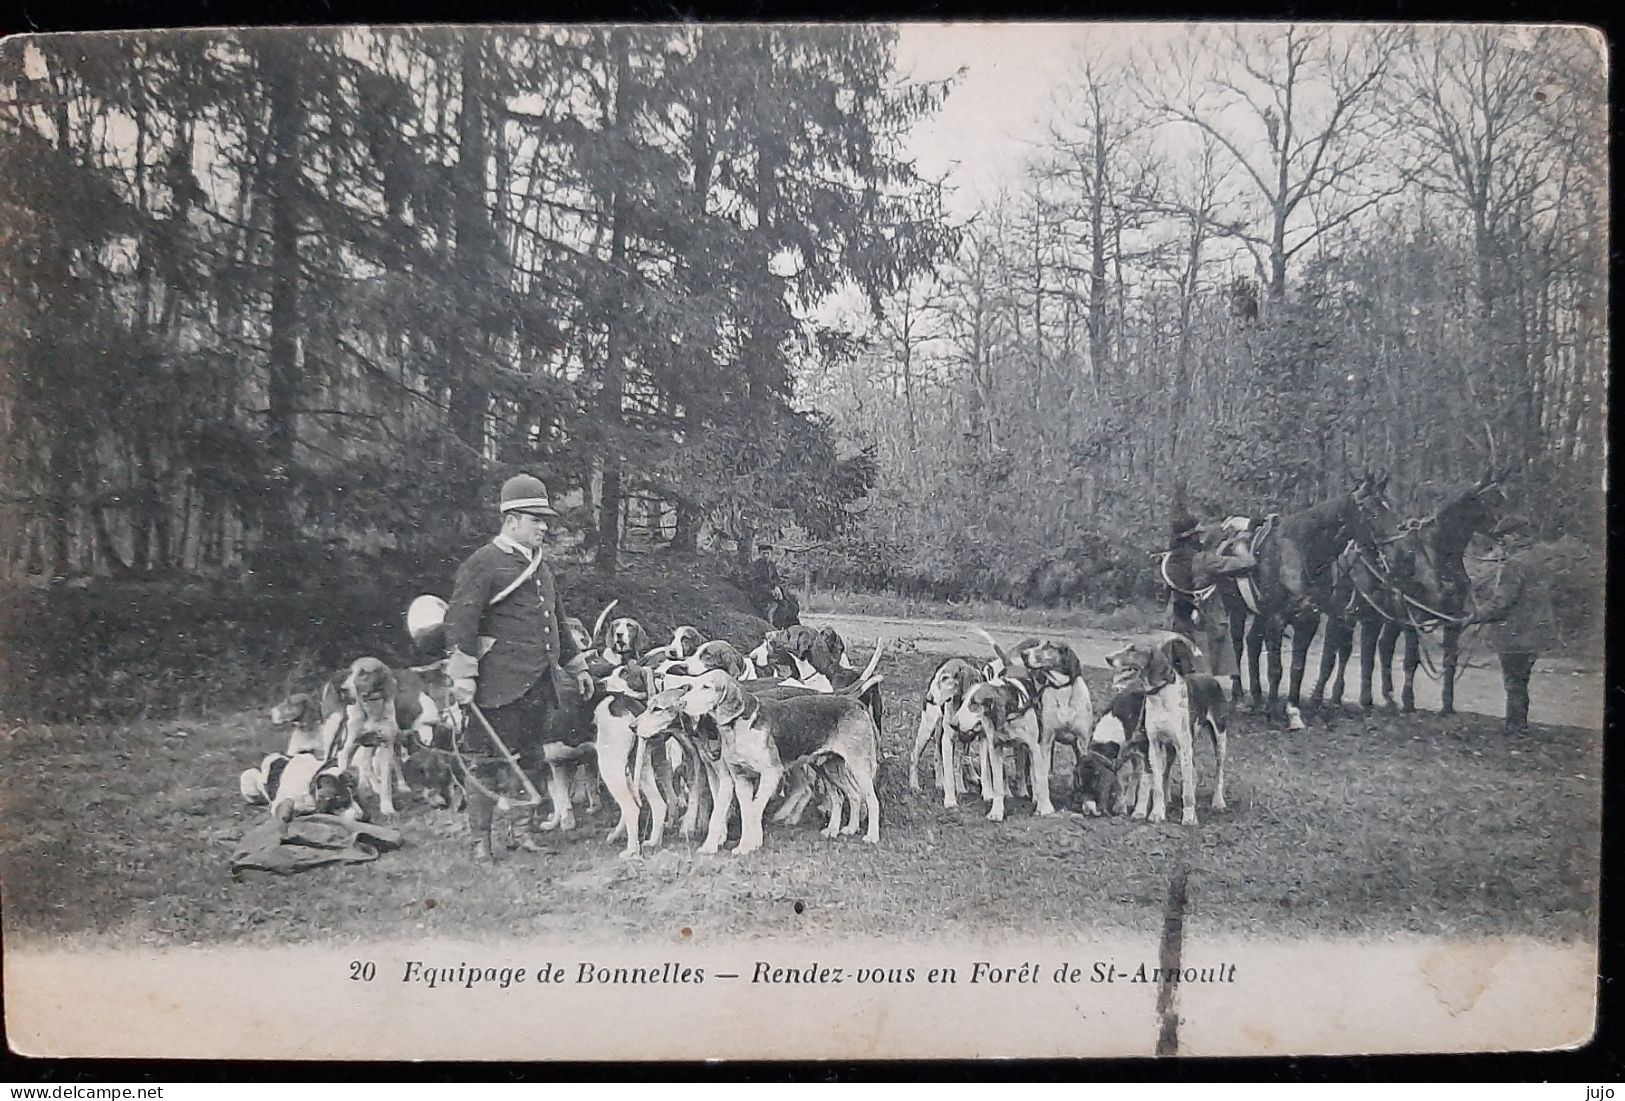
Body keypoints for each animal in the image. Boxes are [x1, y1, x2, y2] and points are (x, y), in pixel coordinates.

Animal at [1235, 474, 1391, 724]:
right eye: (1372, 512)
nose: (1402, 551)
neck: (1298, 554)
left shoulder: (1311, 619)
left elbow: (1298, 667)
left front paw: (1293, 709)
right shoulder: (1279, 619)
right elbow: (1277, 667)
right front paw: (1274, 710)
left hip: (1260, 614)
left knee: (1251, 643)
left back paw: (1257, 697)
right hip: (1236, 610)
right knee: (1236, 645)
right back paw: (1239, 696)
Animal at [1306, 470, 1508, 714]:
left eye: (1502, 498)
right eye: (1491, 501)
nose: (1519, 526)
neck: (1438, 556)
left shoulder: (1453, 620)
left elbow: (1449, 659)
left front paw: (1447, 705)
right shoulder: (1414, 619)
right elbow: (1411, 659)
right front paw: (1409, 702)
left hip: (1379, 618)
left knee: (1374, 649)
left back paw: (1375, 697)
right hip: (1352, 615)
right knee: (1339, 650)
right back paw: (1332, 694)